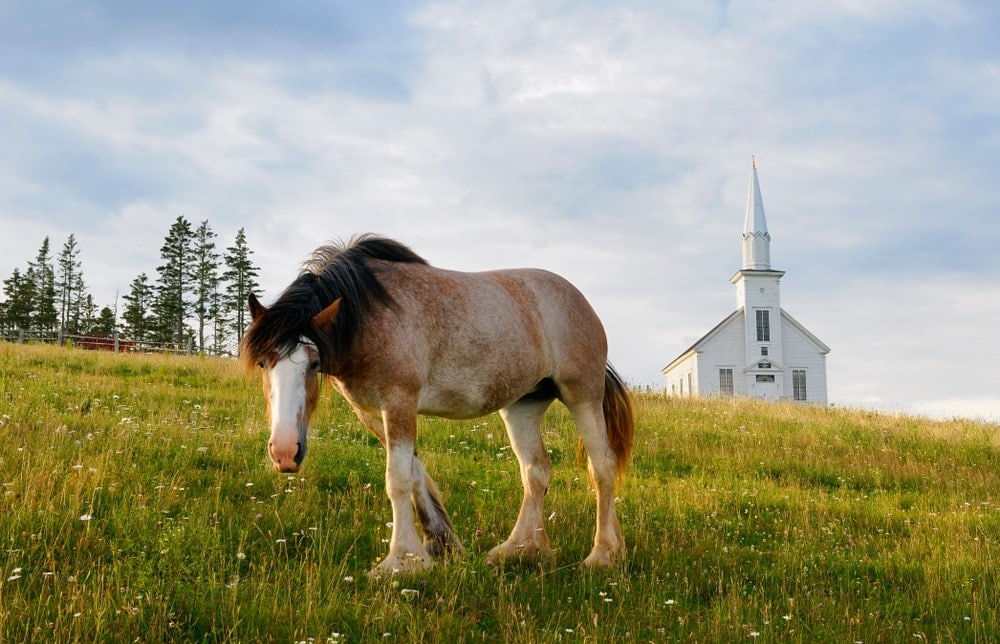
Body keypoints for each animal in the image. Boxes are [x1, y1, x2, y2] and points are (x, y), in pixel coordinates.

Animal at [240, 235, 634, 575]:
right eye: (262, 363)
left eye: (313, 363)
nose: (285, 452)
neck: (368, 315)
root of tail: (581, 302)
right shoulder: (373, 413)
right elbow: (415, 474)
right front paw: (439, 545)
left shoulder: (399, 402)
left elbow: (398, 479)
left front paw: (401, 560)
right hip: (523, 405)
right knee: (536, 472)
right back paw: (521, 549)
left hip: (582, 395)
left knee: (601, 466)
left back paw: (602, 554)